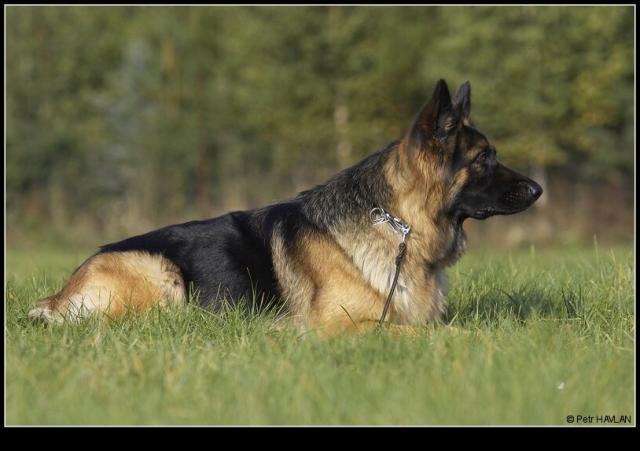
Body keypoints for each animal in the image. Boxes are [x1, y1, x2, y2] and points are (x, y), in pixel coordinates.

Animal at [28, 79, 542, 335]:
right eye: (484, 158)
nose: (539, 189)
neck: (399, 227)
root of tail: (62, 292)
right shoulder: (340, 326)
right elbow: (434, 334)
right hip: (164, 276)